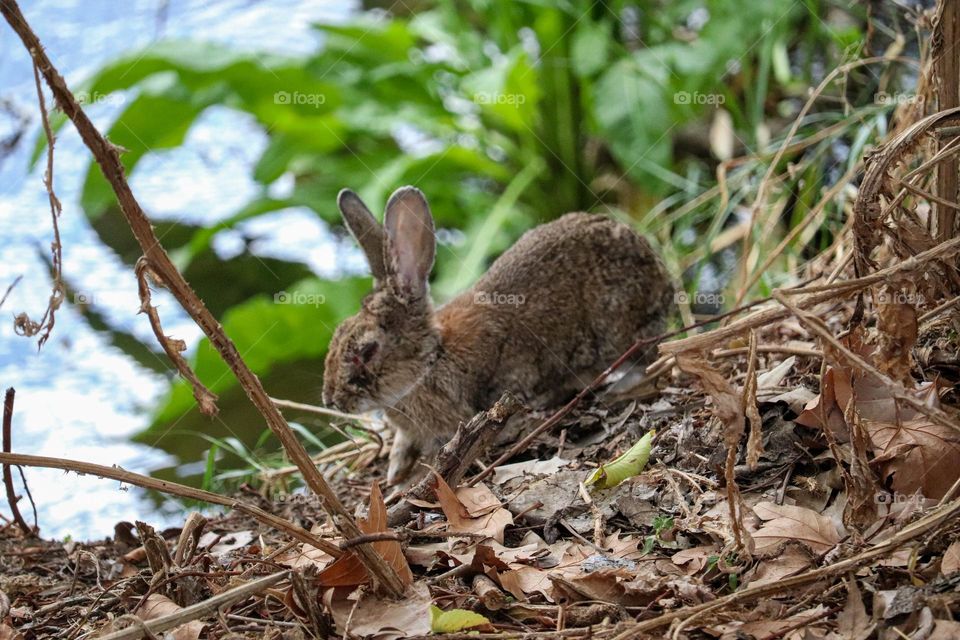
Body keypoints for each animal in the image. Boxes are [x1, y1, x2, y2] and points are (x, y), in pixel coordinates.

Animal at [322, 188, 676, 482]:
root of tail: (660, 272)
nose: (331, 400)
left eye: (367, 351)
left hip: (620, 328)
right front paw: (394, 472)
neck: (432, 360)